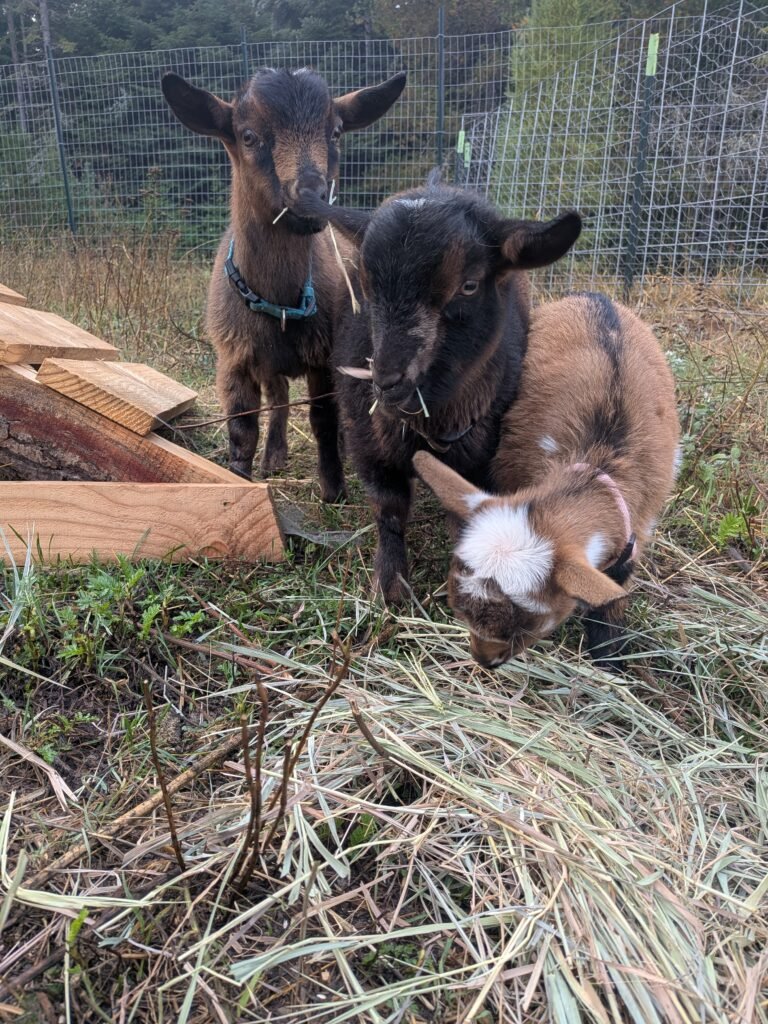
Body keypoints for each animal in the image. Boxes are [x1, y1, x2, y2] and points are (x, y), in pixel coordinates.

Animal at [161, 67, 406, 498]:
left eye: (336, 132)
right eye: (248, 136)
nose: (310, 194)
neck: (279, 301)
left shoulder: (323, 357)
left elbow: (323, 421)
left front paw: (334, 489)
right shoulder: (235, 358)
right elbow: (242, 429)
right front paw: (239, 479)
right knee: (277, 399)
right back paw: (274, 456)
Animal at [295, 184, 581, 600]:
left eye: (469, 285)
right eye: (365, 286)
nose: (386, 380)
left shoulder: (483, 457)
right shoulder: (372, 444)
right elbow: (389, 509)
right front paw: (391, 586)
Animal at [414, 293, 680, 670]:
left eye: (530, 622)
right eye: (458, 608)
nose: (484, 660)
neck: (595, 466)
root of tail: (595, 296)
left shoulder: (638, 528)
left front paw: (609, 660)